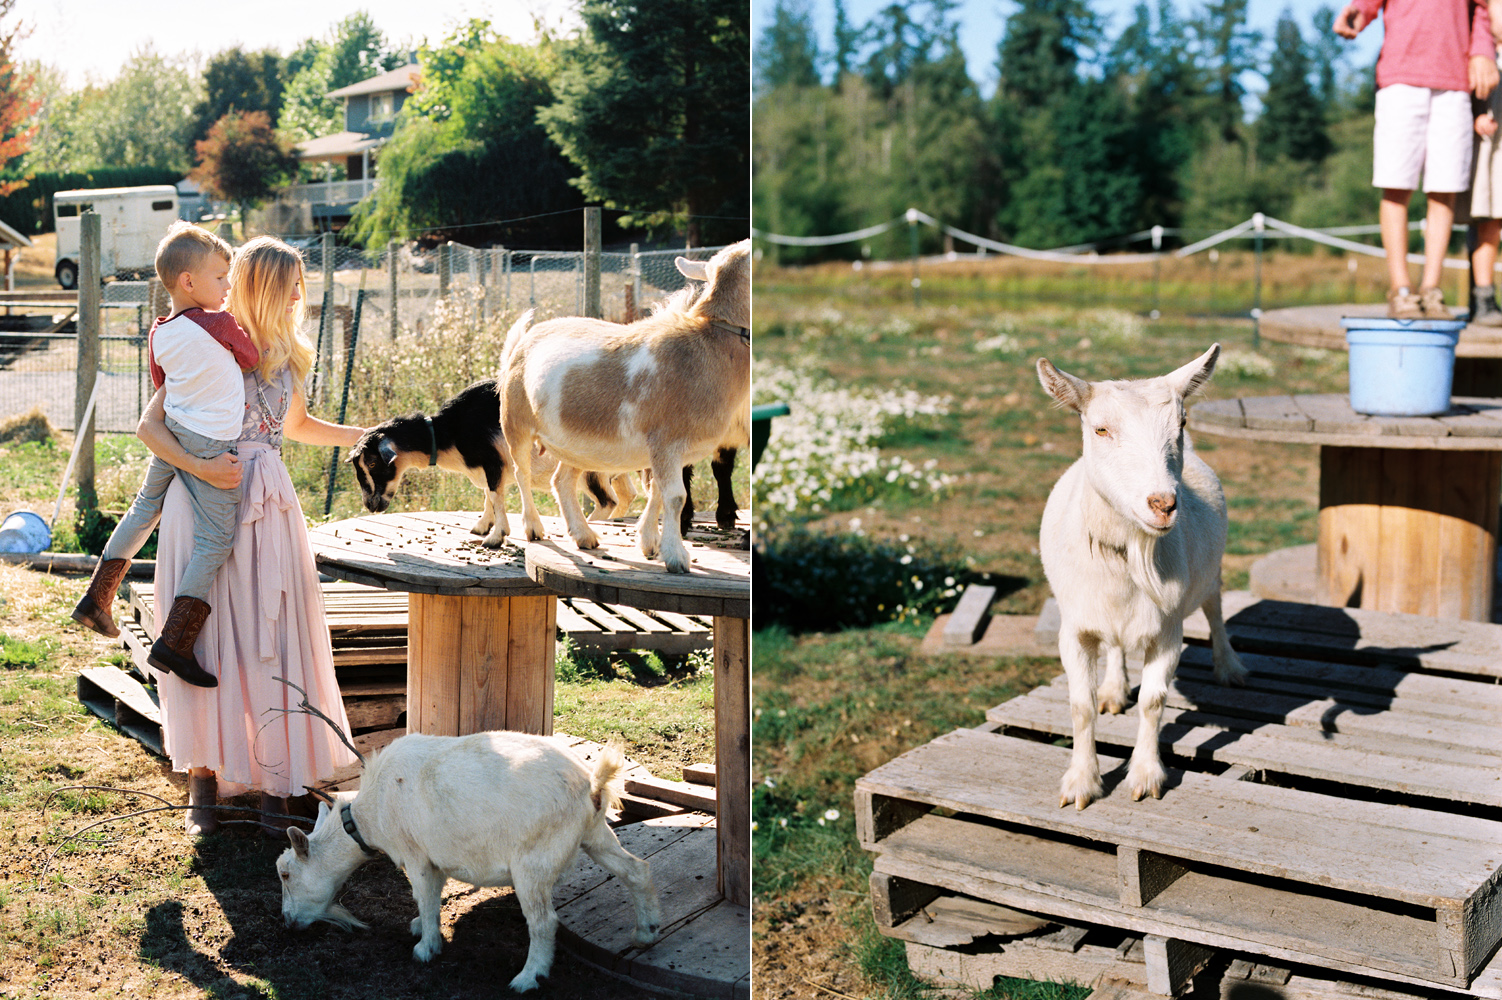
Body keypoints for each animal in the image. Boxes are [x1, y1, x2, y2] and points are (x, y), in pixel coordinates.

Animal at [277, 729, 663, 990]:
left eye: (285, 874)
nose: (288, 923)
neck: (367, 815)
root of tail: (592, 785)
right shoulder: (434, 857)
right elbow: (432, 898)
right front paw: (422, 928)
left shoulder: (415, 854)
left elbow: (424, 896)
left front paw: (426, 948)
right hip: (594, 835)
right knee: (637, 870)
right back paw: (646, 933)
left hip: (533, 860)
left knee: (543, 922)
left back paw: (527, 977)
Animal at [498, 237, 751, 573]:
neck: (709, 345)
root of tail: (525, 338)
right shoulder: (666, 441)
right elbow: (675, 497)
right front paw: (676, 556)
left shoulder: (667, 450)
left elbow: (658, 492)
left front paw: (649, 542)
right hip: (516, 423)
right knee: (521, 473)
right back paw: (534, 527)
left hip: (574, 443)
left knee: (561, 480)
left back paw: (583, 535)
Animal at [1039, 342, 1249, 810]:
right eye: (1100, 429)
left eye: (1182, 423)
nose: (1163, 504)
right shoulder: (1074, 626)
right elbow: (1080, 705)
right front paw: (1081, 783)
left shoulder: (1168, 629)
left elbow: (1154, 702)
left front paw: (1146, 776)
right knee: (1116, 647)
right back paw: (1114, 689)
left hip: (1210, 575)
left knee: (1214, 609)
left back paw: (1229, 667)